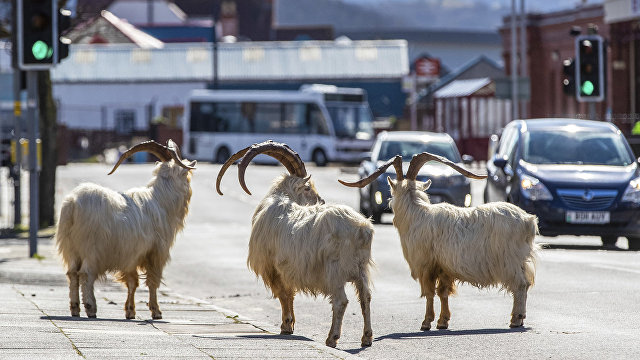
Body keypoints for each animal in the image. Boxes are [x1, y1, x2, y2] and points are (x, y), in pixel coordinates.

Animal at [55, 139, 195, 320]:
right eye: (187, 176)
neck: (161, 200)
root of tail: (73, 204)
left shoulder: (131, 255)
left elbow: (132, 282)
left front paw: (130, 311)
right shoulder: (156, 252)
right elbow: (152, 281)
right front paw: (156, 312)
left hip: (71, 248)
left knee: (72, 273)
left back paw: (75, 309)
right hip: (91, 248)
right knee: (86, 274)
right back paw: (91, 308)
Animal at [216, 141, 376, 348]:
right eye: (307, 188)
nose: (321, 201)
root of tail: (361, 229)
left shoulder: (273, 268)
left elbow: (283, 294)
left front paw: (286, 326)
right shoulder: (287, 269)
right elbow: (290, 294)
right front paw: (290, 325)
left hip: (334, 270)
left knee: (340, 301)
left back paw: (332, 338)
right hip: (361, 269)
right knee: (365, 297)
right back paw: (367, 338)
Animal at [340, 153, 536, 330]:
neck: (417, 213)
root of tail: (528, 220)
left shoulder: (426, 265)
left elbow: (429, 293)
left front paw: (426, 322)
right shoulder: (444, 267)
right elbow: (443, 292)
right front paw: (443, 321)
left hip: (509, 260)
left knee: (520, 285)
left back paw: (516, 319)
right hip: (519, 261)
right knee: (526, 283)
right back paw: (520, 319)